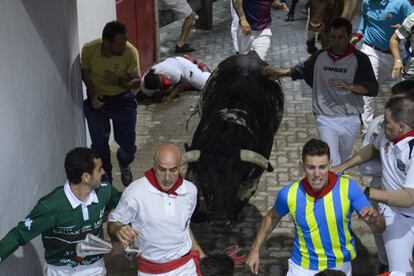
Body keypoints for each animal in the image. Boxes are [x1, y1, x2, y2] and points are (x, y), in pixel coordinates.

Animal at [185, 52, 284, 227]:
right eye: (205, 181)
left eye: (234, 183)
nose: (219, 220)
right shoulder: (194, 167)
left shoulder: (252, 179)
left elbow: (241, 199)